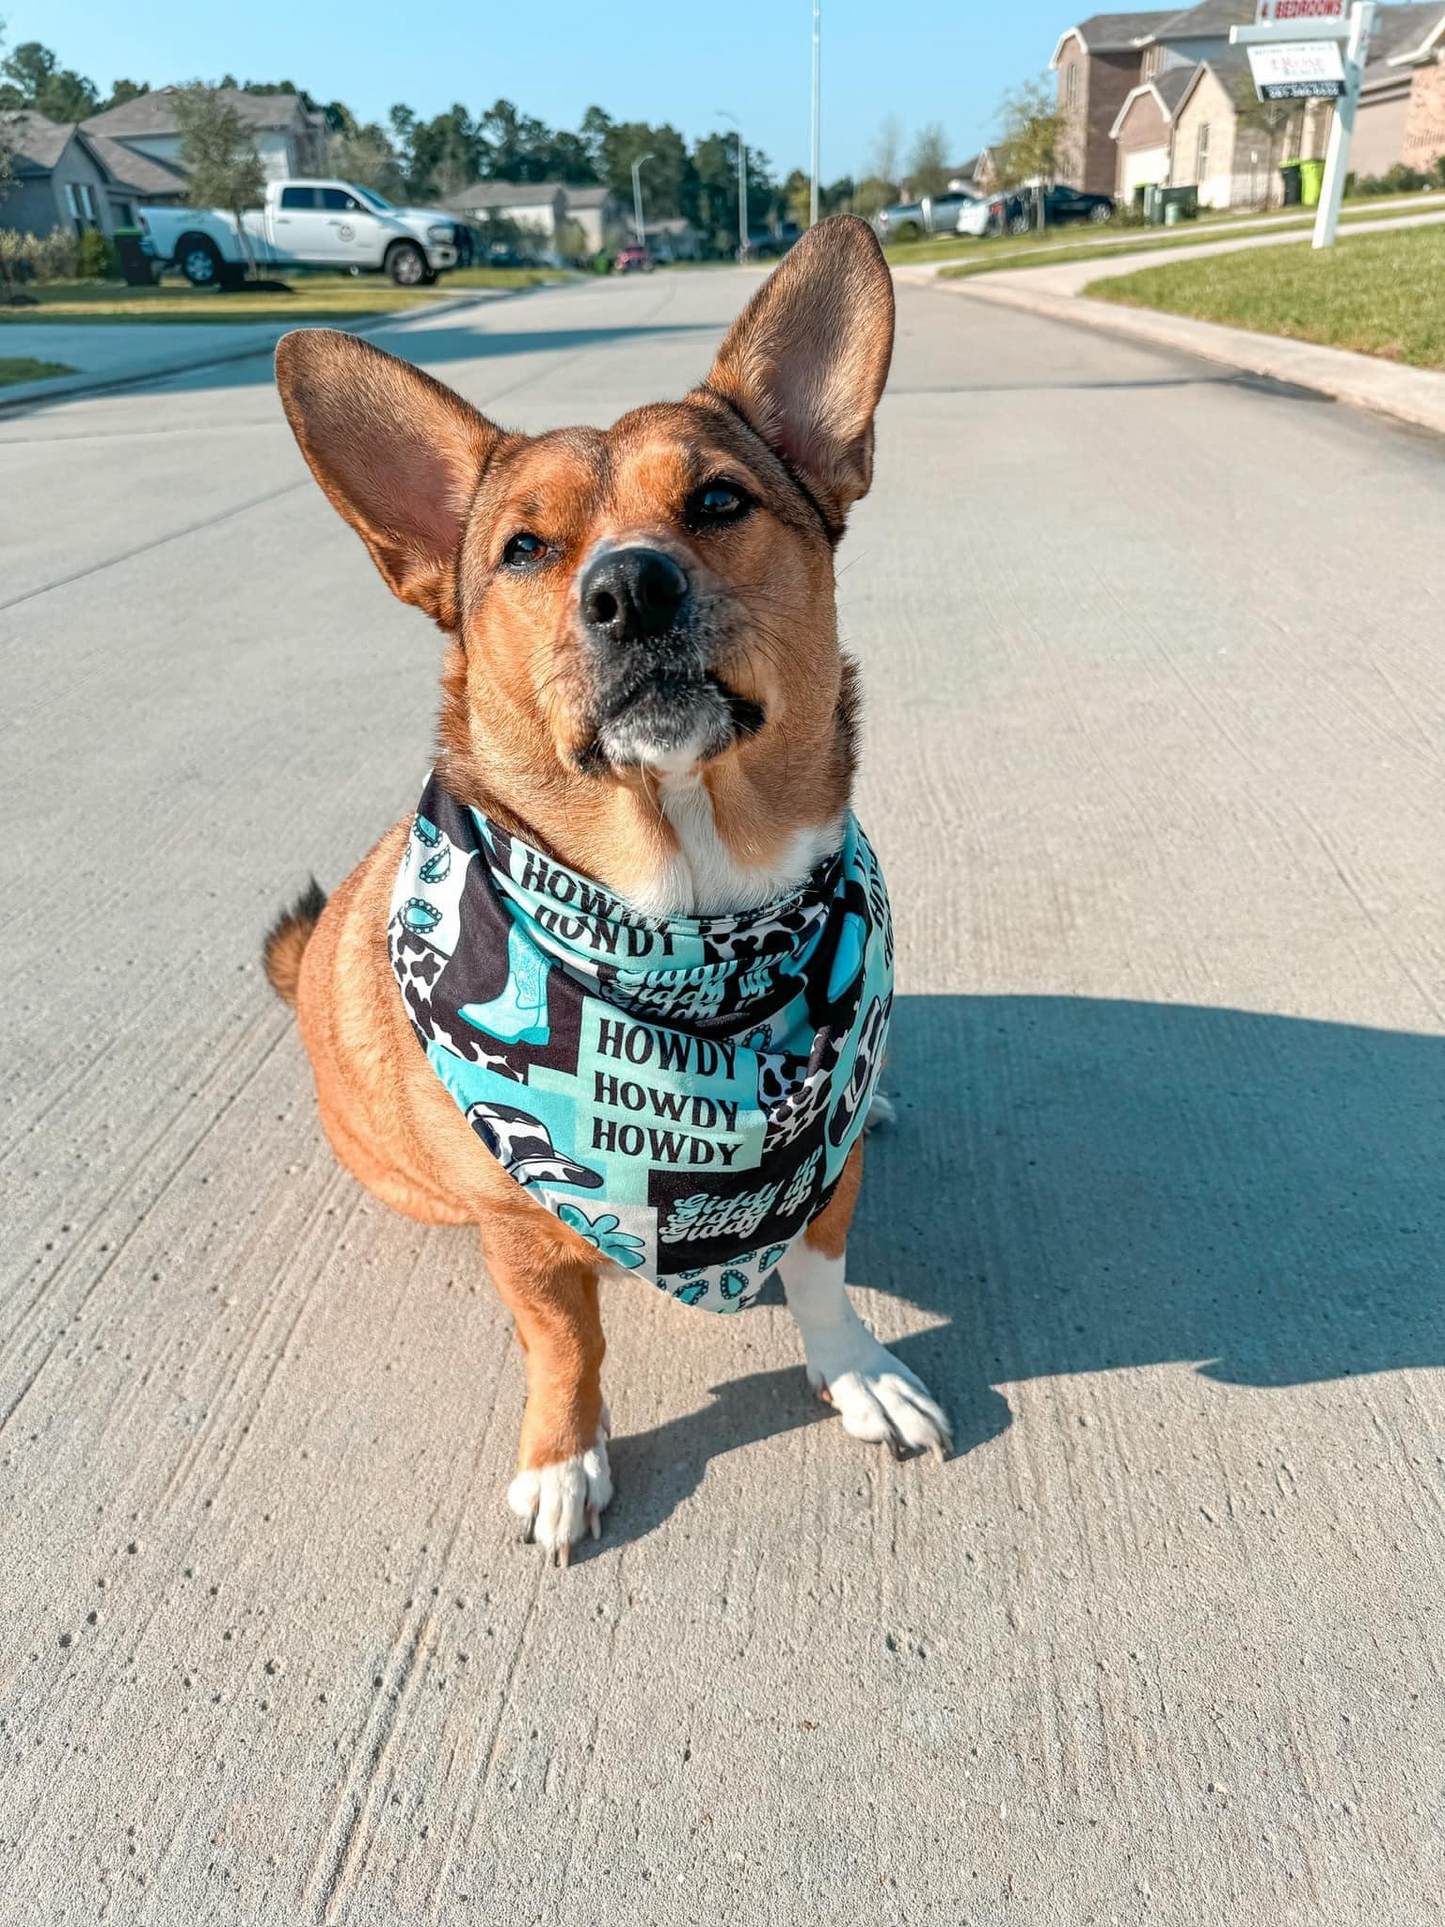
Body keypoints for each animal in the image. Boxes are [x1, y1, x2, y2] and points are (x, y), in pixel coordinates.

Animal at [267, 218, 955, 1557]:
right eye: (523, 550)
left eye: (718, 501)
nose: (629, 588)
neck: (691, 916)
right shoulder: (527, 1235)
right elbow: (565, 1339)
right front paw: (562, 1453)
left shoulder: (820, 1166)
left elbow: (821, 1268)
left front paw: (854, 1368)